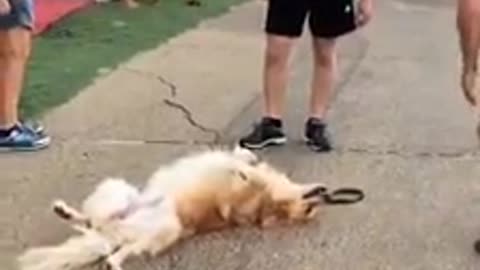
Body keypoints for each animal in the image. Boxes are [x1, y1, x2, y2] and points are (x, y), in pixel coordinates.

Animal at [17, 148, 364, 270]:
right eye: (309, 209)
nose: (323, 195)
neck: (272, 200)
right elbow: (245, 156)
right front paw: (246, 158)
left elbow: (245, 169)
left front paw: (245, 168)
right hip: (119, 192)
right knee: (94, 223)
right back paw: (65, 212)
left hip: (163, 227)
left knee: (113, 246)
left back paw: (111, 262)